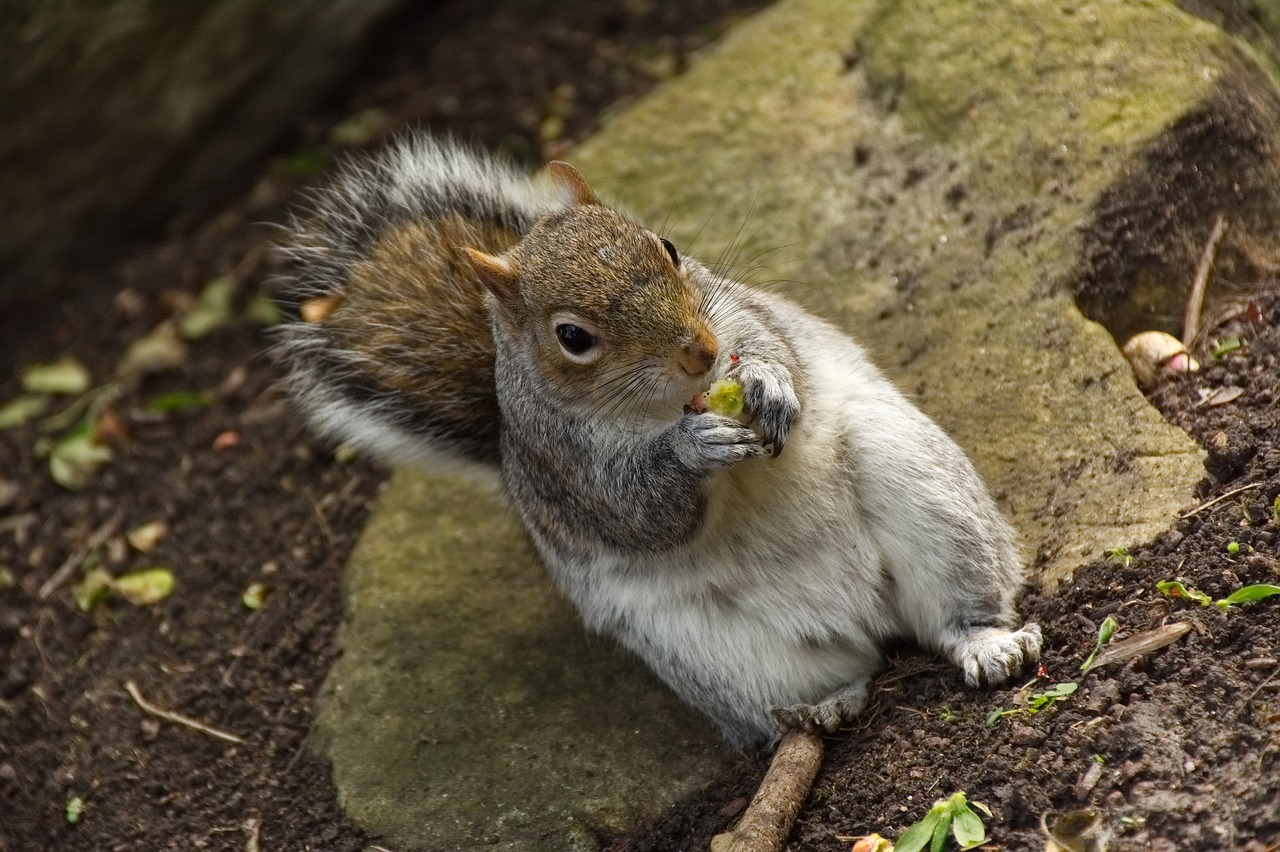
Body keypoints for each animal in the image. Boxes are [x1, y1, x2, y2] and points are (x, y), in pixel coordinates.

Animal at [277, 134, 1039, 741]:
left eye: (668, 248)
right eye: (572, 337)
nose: (700, 353)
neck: (669, 402)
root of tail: (865, 613)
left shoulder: (737, 308)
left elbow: (773, 343)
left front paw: (766, 382)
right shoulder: (565, 469)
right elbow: (641, 513)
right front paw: (690, 450)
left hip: (915, 480)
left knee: (954, 604)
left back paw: (986, 643)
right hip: (710, 650)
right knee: (820, 679)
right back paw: (826, 702)